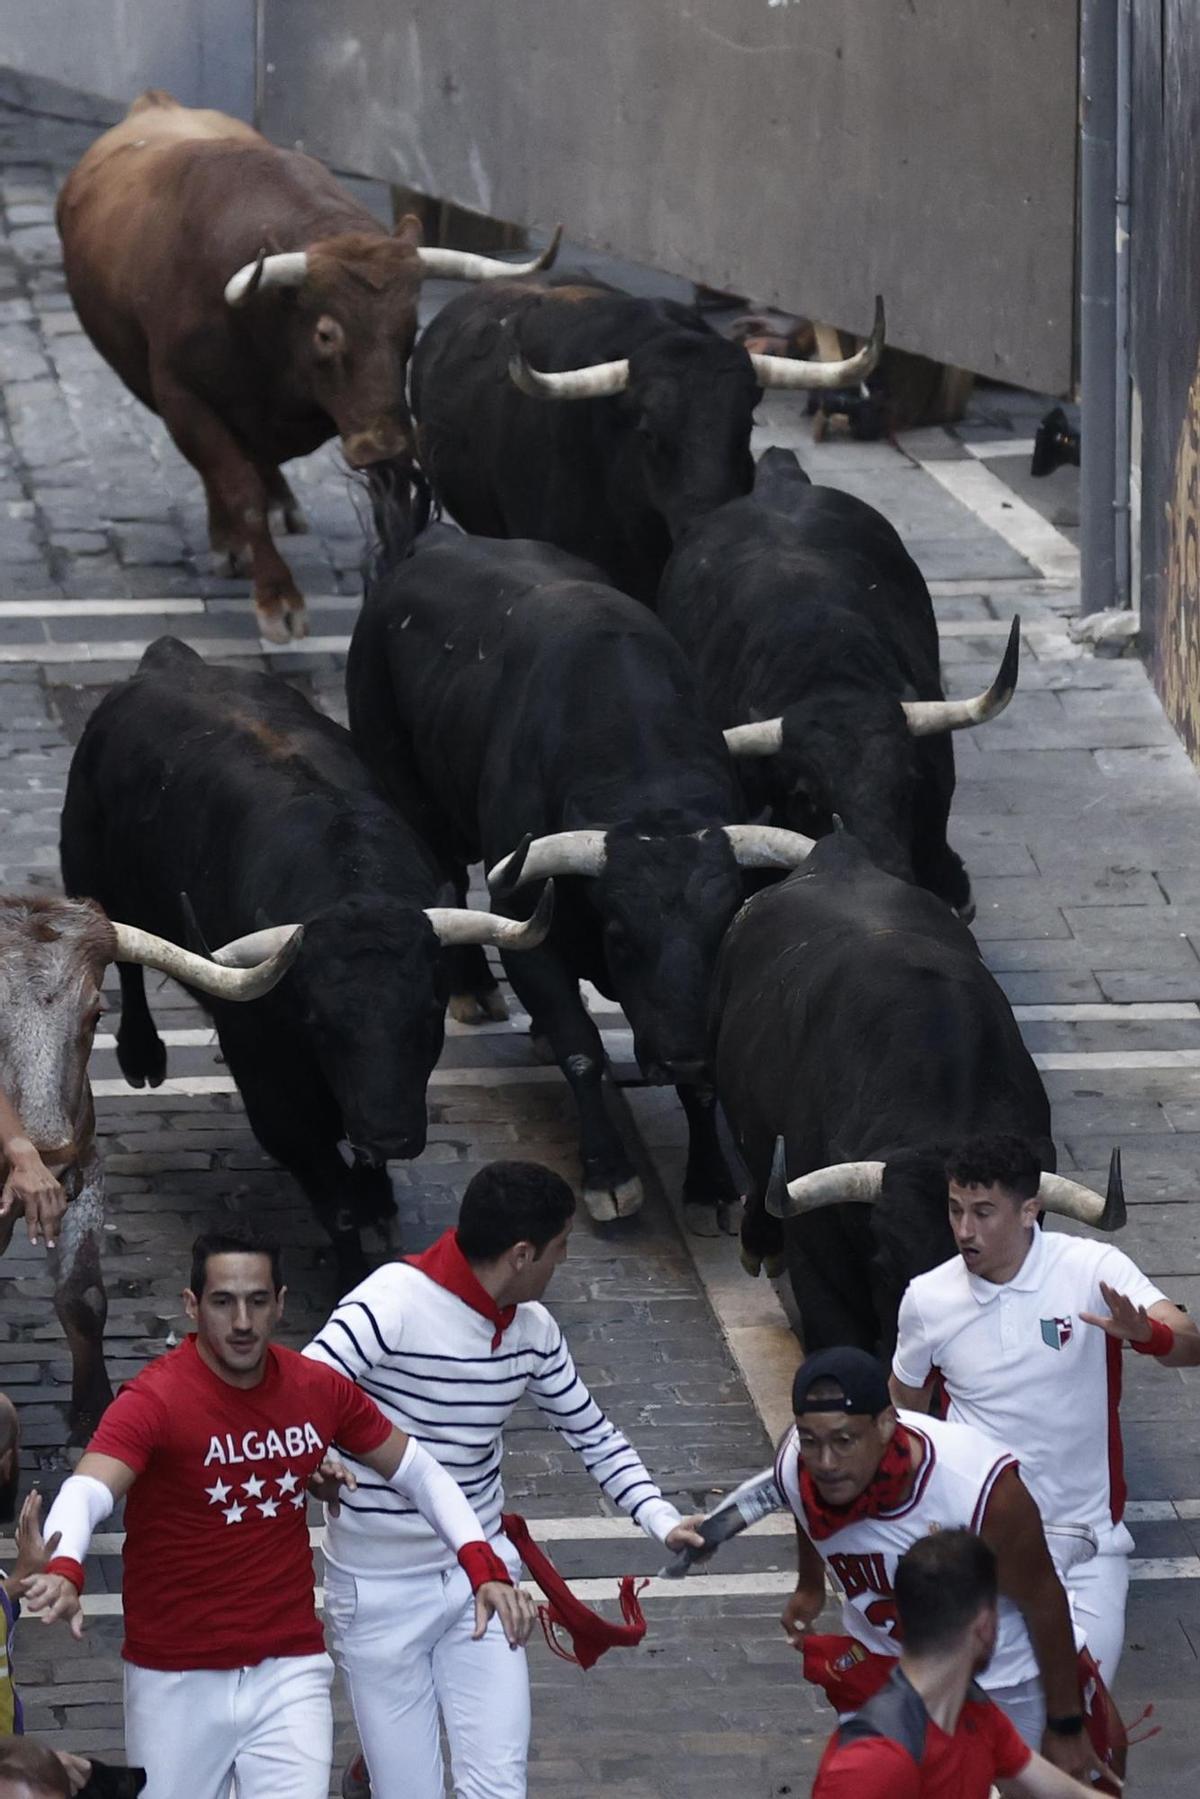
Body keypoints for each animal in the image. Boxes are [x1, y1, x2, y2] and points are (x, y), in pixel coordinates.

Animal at [56, 91, 557, 644]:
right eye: (325, 333)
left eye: (409, 327)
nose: (383, 443)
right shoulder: (180, 395)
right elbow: (237, 488)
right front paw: (277, 596)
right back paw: (229, 540)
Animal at [57, 633, 543, 1280]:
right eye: (320, 1023)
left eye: (427, 1013)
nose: (391, 1136)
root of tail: (169, 657)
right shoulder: (270, 1088)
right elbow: (330, 1192)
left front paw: (381, 1202)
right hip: (86, 869)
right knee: (124, 958)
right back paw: (141, 1056)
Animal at [347, 518, 813, 1223]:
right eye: (620, 934)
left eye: (722, 929)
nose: (682, 1056)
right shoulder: (524, 930)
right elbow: (582, 1048)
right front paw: (610, 1175)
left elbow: (698, 1091)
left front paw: (710, 1180)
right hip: (406, 784)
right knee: (446, 875)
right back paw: (472, 990)